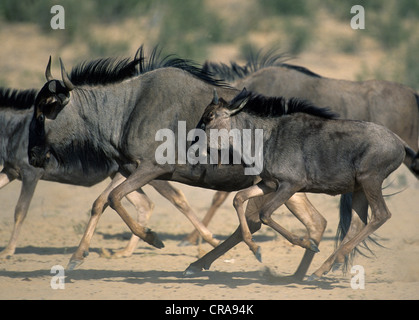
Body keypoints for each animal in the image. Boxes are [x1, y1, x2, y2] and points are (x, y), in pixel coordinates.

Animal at [200, 89, 410, 278]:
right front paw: (254, 247)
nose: (196, 143)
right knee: (357, 224)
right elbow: (238, 198)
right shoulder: (269, 184)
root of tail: (400, 142)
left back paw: (331, 261)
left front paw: (307, 243)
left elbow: (264, 214)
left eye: (210, 117)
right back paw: (321, 269)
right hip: (359, 188)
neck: (267, 138)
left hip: (370, 180)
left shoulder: (290, 185)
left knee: (381, 214)